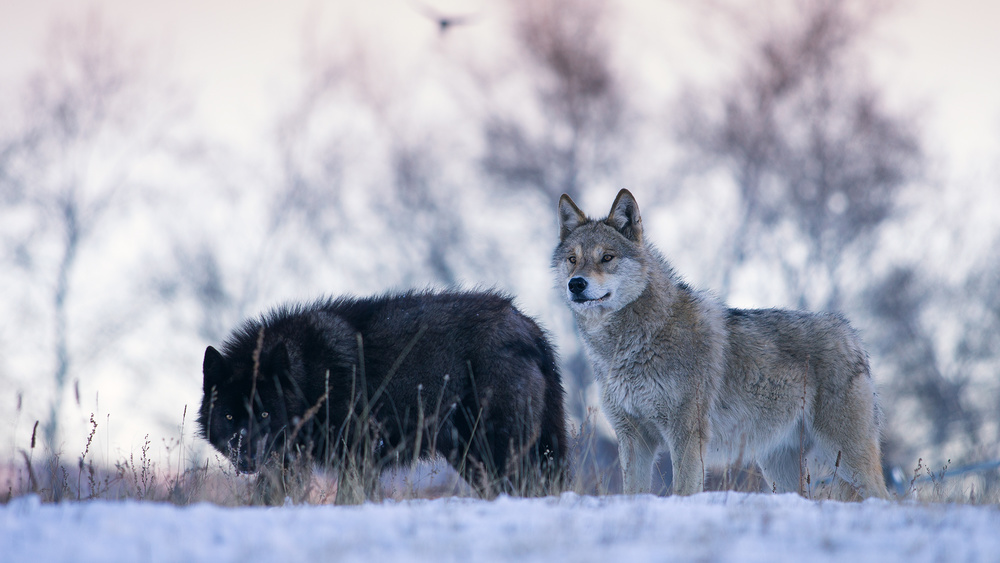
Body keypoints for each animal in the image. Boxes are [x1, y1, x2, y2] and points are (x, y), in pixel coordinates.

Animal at [197, 290, 567, 499]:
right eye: (229, 416)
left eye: (264, 414)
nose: (247, 458)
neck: (309, 379)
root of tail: (530, 327)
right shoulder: (289, 463)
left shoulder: (358, 455)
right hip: (470, 455)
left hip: (496, 448)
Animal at [554, 189, 889, 499]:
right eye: (573, 260)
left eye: (606, 257)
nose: (576, 284)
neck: (630, 343)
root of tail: (852, 335)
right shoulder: (633, 438)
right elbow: (633, 493)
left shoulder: (687, 435)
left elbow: (683, 491)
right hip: (779, 466)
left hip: (846, 458)